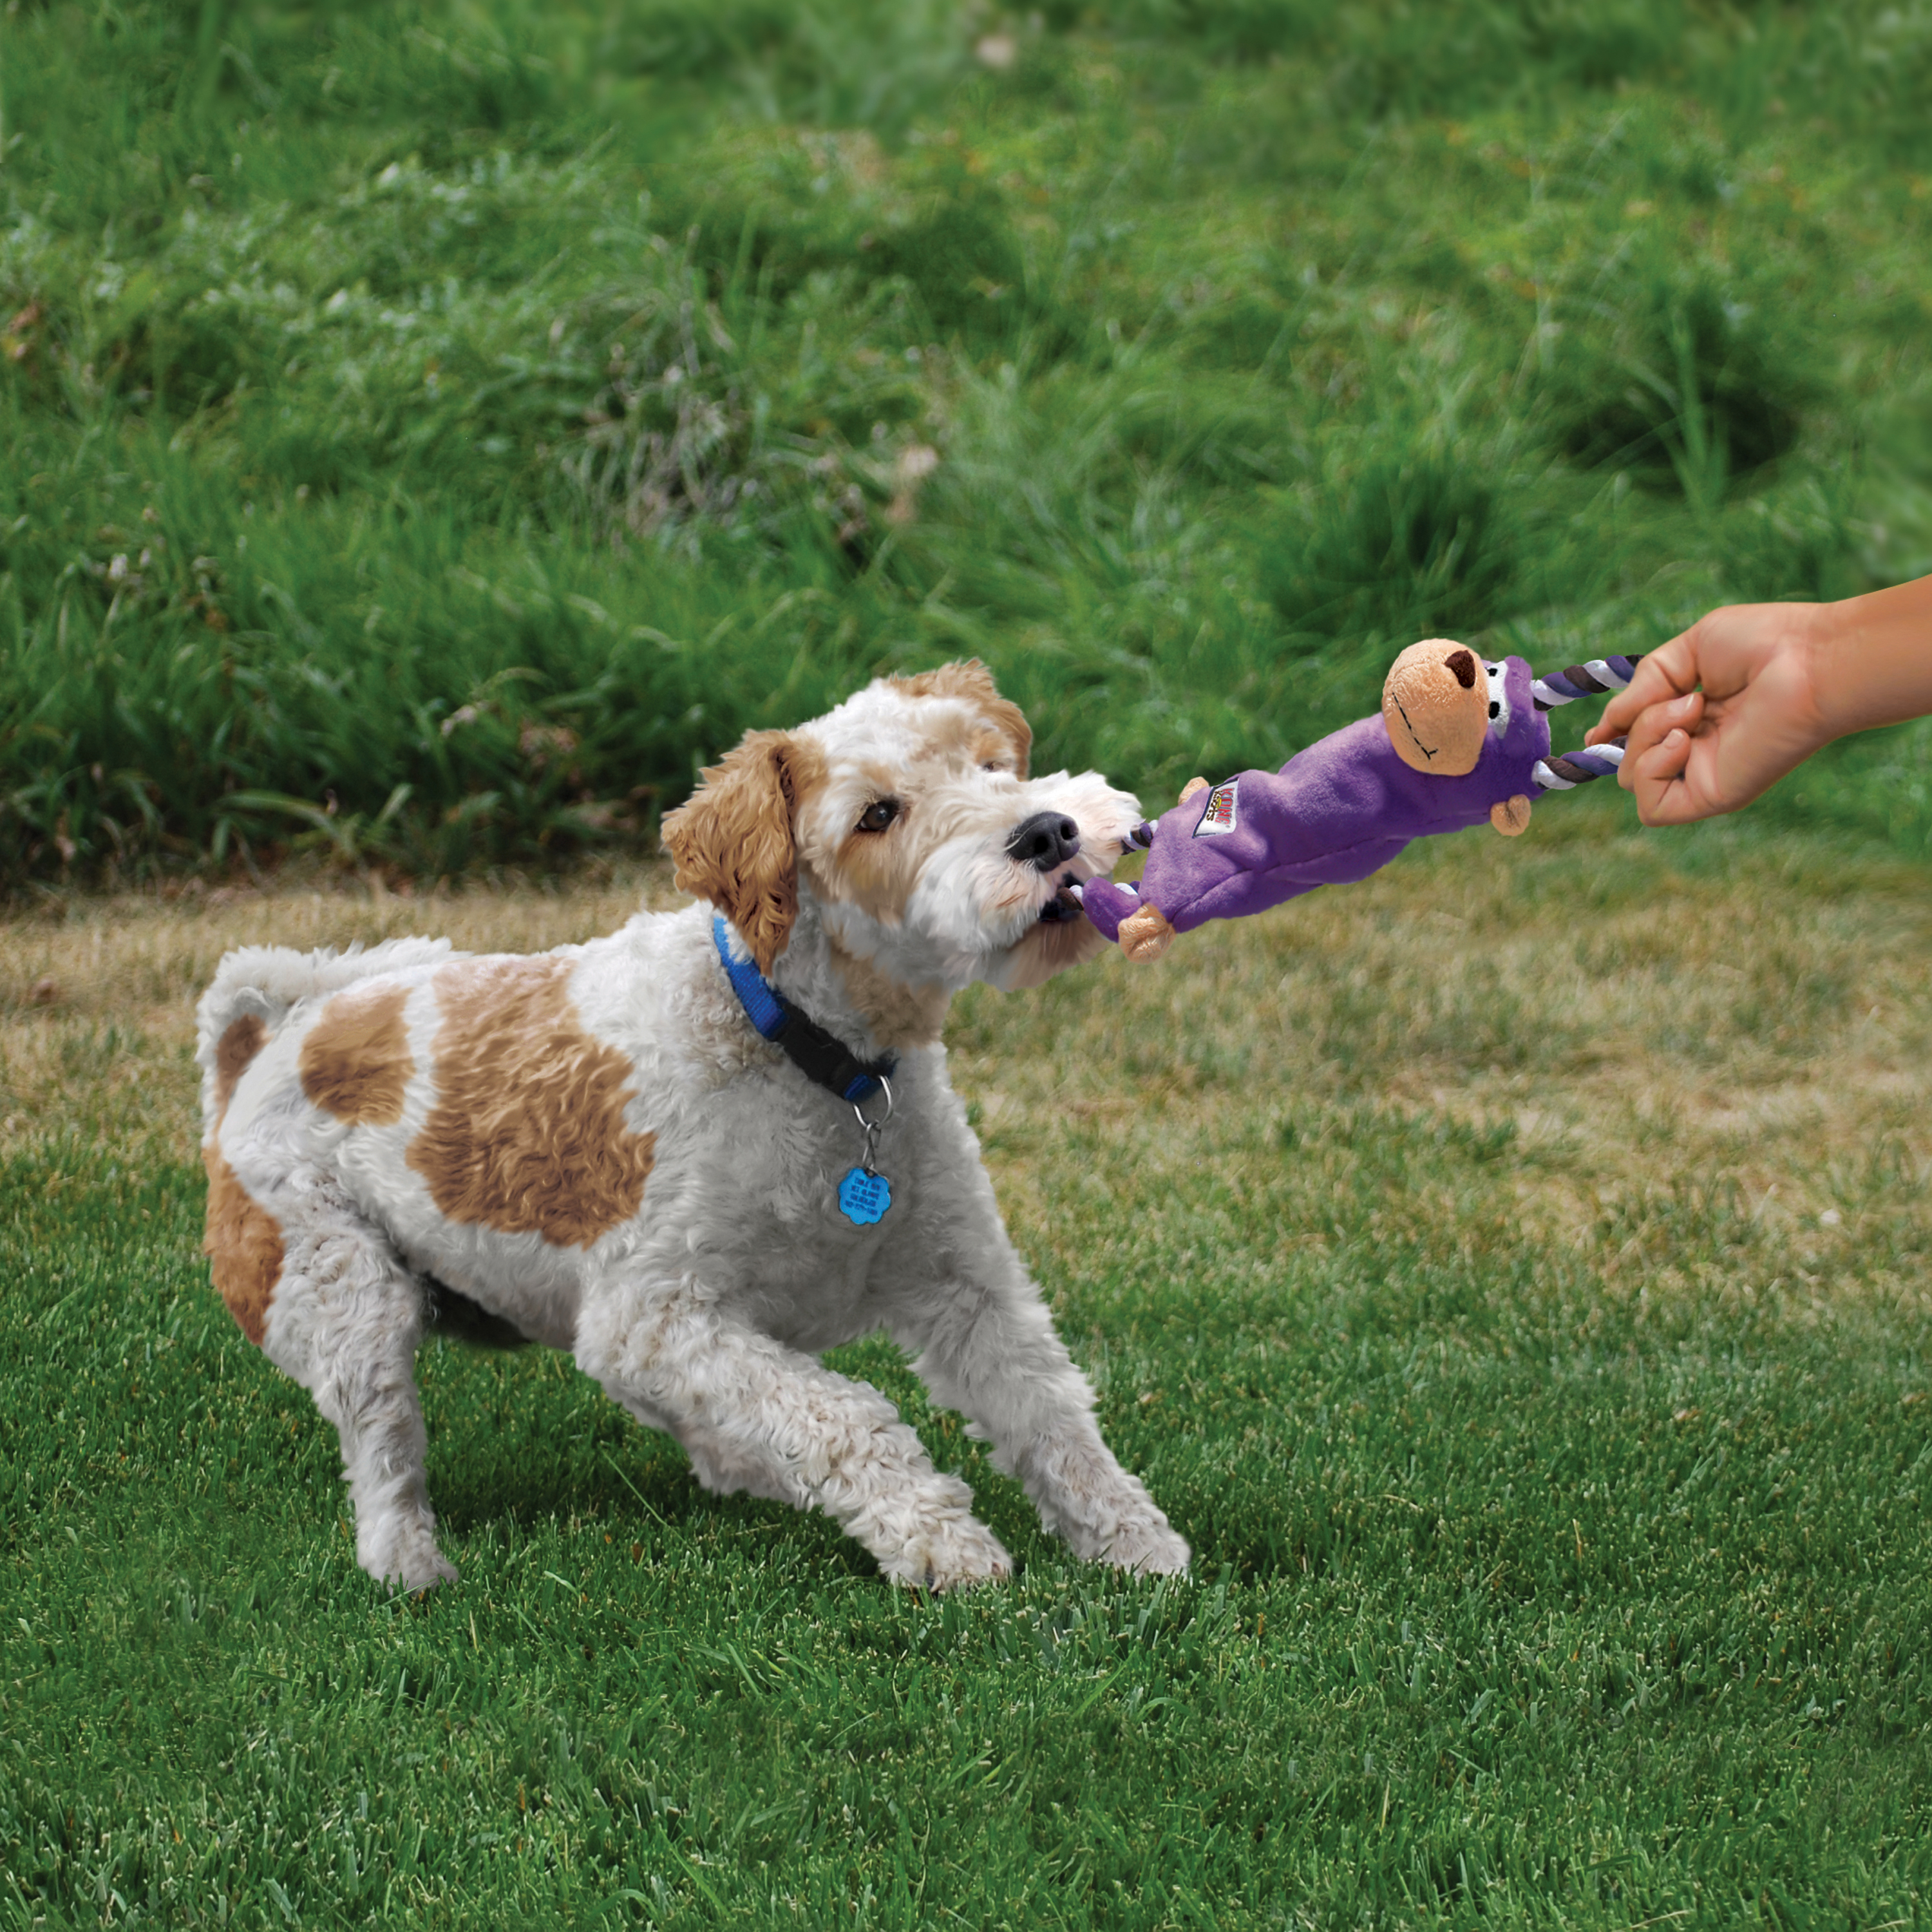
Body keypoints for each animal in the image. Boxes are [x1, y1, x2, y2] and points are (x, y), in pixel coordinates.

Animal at [200, 672, 1190, 1592]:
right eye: (876, 815)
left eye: (987, 761)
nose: (1050, 833)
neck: (806, 1049)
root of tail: (268, 1041)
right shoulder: (651, 1314)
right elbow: (853, 1416)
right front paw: (948, 1548)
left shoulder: (964, 1280)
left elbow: (1051, 1411)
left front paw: (1141, 1551)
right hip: (343, 1288)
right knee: (385, 1457)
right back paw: (412, 1569)